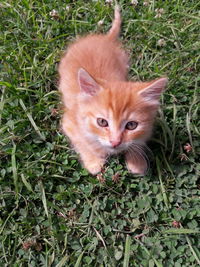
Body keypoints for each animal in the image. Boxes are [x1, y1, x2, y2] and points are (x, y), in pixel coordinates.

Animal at [57, 5, 167, 176]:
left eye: (131, 125)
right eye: (102, 122)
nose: (115, 142)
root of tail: (104, 38)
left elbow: (139, 140)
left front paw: (136, 160)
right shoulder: (69, 122)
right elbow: (82, 143)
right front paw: (94, 161)